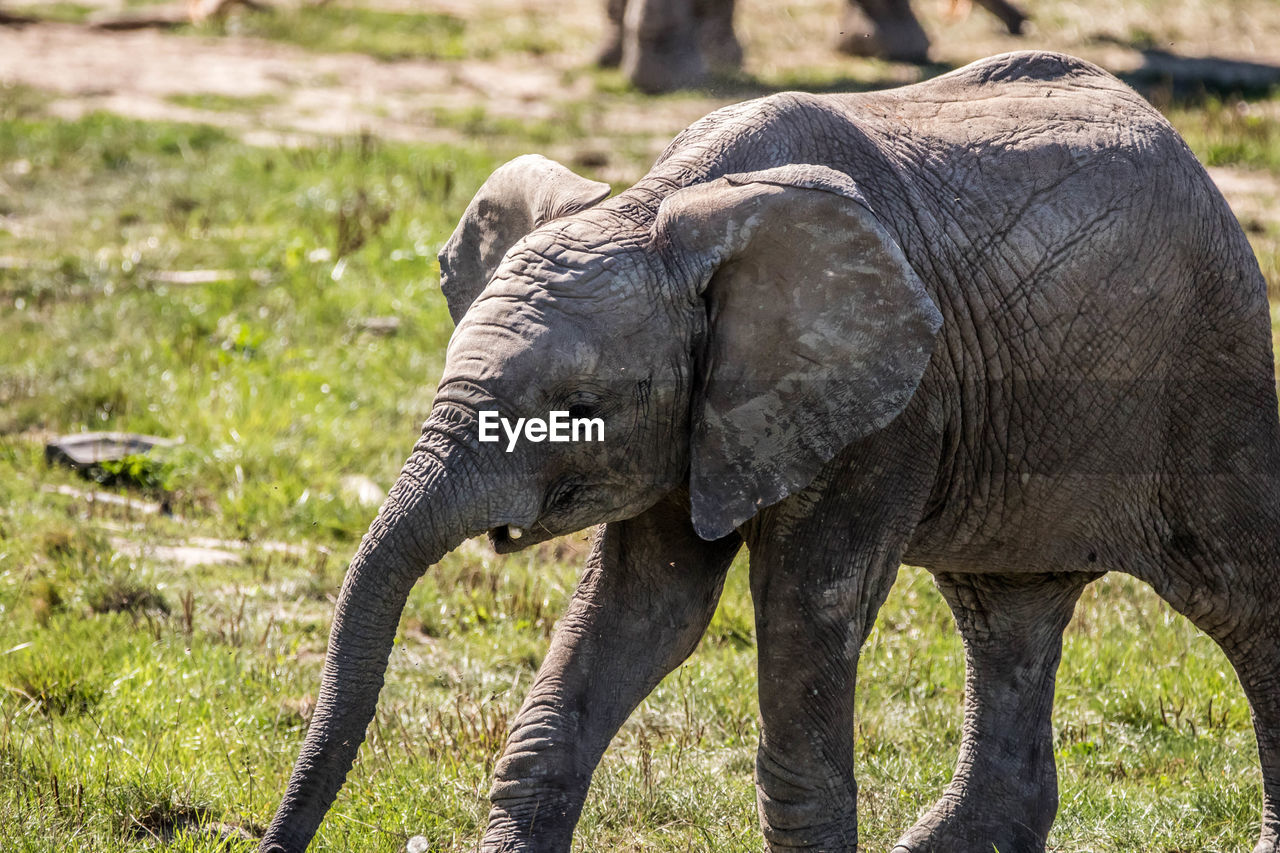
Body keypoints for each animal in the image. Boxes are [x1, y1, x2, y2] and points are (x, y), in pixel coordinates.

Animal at [259, 51, 1280, 850]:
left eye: (579, 407)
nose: (271, 837)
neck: (657, 205)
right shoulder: (704, 417)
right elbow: (644, 611)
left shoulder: (886, 408)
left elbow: (806, 609)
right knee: (1008, 613)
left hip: (1212, 367)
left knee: (1240, 598)